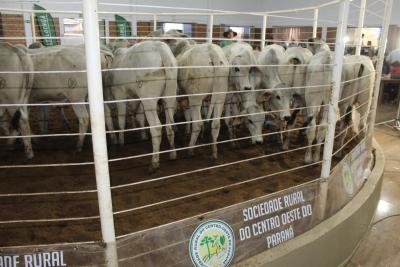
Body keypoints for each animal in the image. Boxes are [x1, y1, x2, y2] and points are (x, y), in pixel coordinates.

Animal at [105, 41, 177, 172]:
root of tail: (160, 48)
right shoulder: (138, 100)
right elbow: (140, 117)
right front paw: (142, 135)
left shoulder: (120, 94)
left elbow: (121, 119)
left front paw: (121, 141)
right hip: (170, 96)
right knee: (169, 126)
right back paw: (173, 153)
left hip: (149, 99)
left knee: (156, 127)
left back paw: (154, 163)